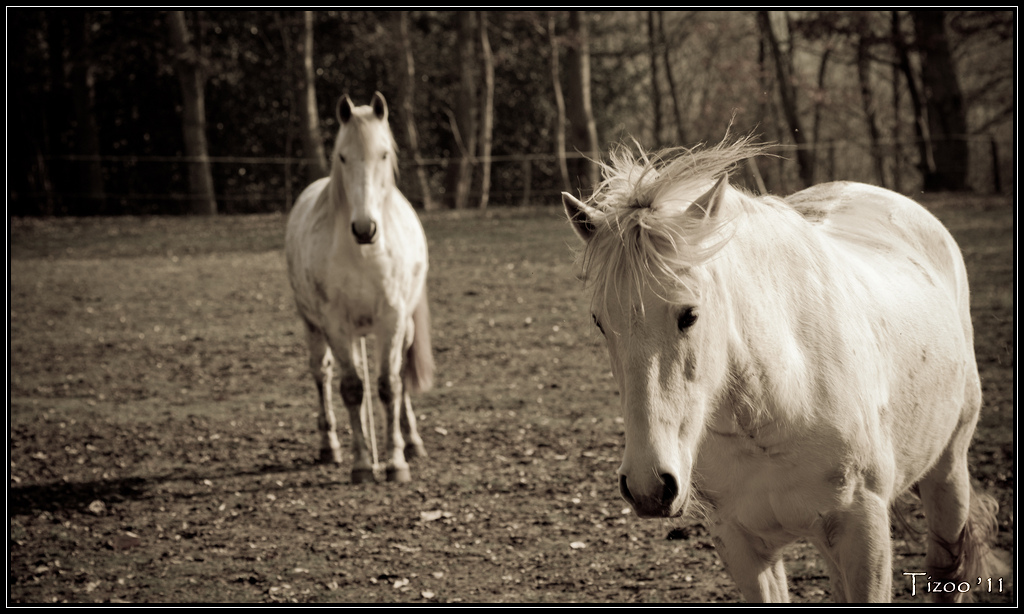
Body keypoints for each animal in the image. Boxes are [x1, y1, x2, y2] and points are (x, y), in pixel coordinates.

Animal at [561, 138, 999, 597]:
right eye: (599, 322)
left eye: (689, 314)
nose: (648, 487)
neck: (779, 403)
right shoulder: (741, 544)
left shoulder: (864, 530)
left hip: (947, 475)